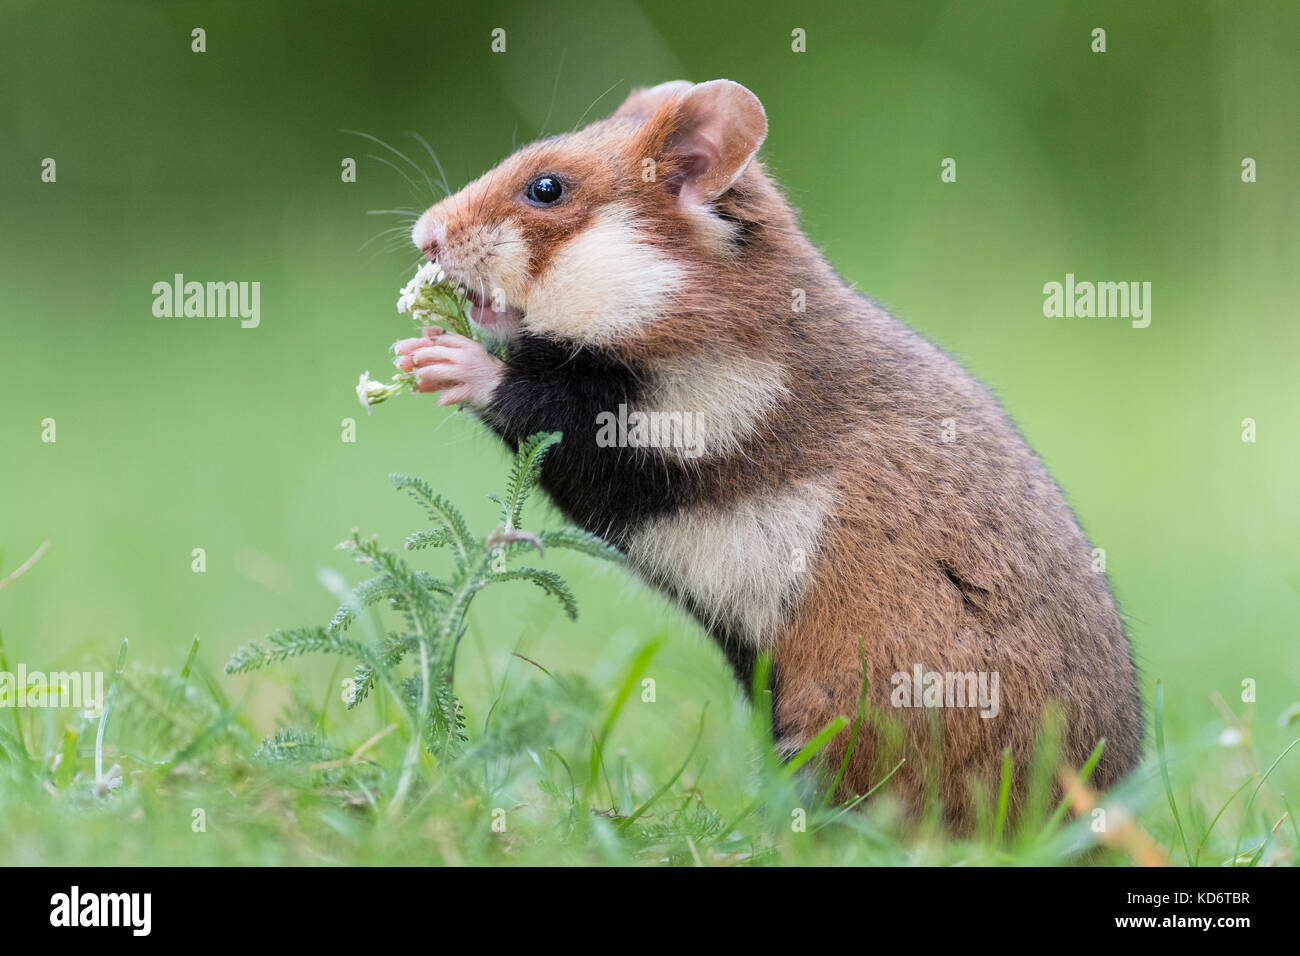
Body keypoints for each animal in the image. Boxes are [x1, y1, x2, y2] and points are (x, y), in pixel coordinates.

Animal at [392, 78, 1138, 827]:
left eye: (546, 188)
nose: (423, 235)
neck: (691, 309)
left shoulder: (670, 438)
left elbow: (540, 408)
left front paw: (443, 359)